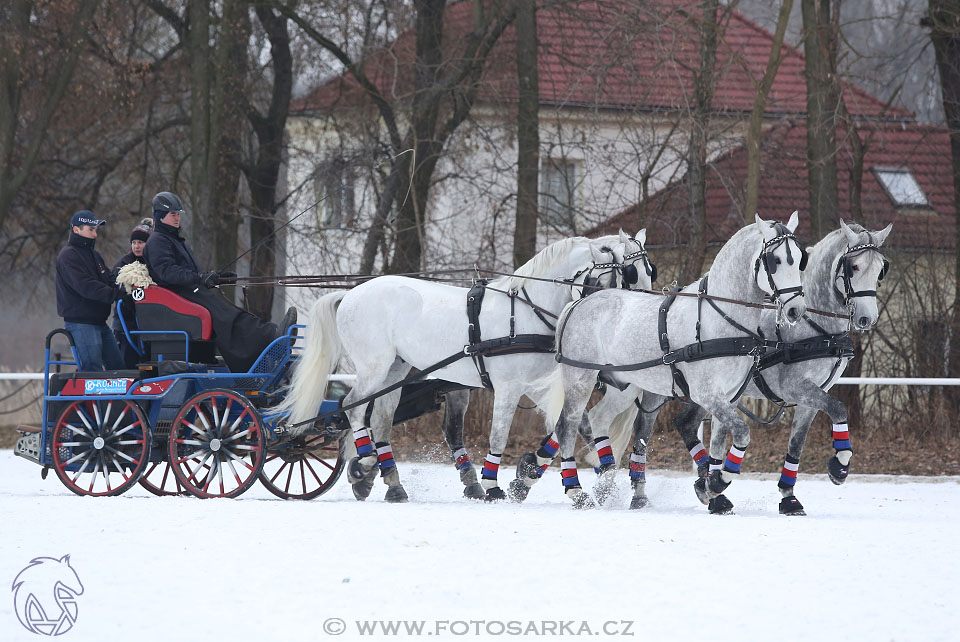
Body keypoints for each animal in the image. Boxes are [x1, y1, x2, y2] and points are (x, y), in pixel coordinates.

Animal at [278, 230, 652, 500]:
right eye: (629, 273)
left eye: (650, 271)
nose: (641, 312)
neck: (526, 310)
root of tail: (351, 293)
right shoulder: (508, 389)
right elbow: (500, 435)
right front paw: (493, 486)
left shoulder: (534, 386)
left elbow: (575, 425)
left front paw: (591, 475)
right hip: (374, 366)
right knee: (353, 407)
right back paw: (365, 462)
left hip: (395, 369)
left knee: (380, 418)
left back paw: (391, 482)